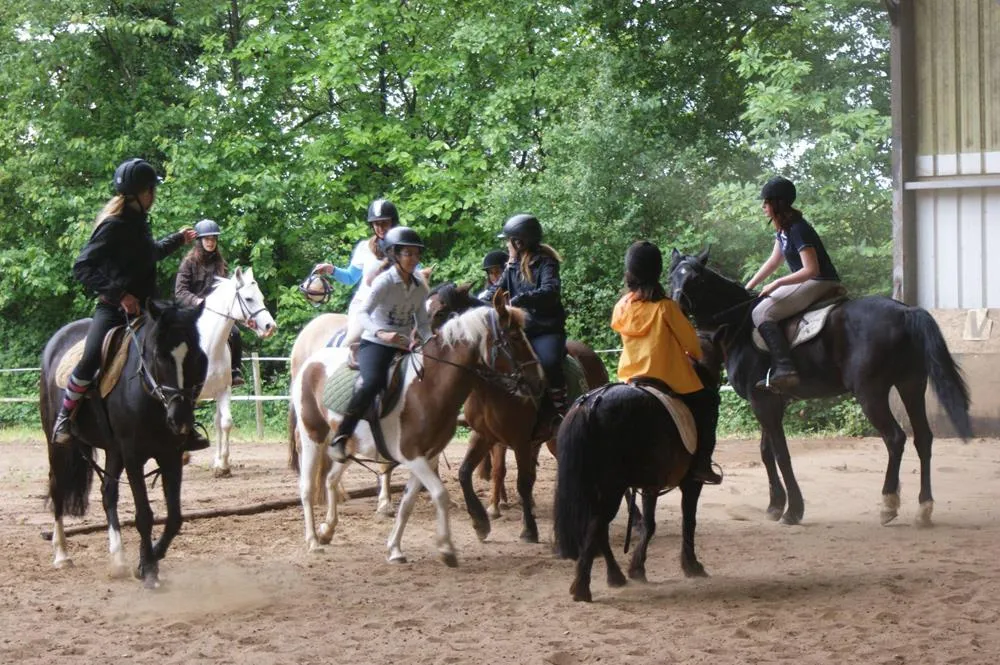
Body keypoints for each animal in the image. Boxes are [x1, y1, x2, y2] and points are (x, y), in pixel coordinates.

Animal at [40, 300, 208, 588]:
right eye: (159, 355)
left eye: (197, 357)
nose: (181, 419)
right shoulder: (133, 456)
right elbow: (144, 515)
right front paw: (149, 571)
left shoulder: (171, 455)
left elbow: (174, 517)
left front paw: (146, 561)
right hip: (59, 448)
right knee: (57, 489)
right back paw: (62, 555)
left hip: (113, 451)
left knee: (108, 493)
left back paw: (118, 559)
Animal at [195, 268, 278, 474]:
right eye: (248, 298)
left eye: (261, 297)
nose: (270, 327)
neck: (208, 348)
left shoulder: (223, 390)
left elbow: (225, 423)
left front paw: (223, 465)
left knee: (217, 422)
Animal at [424, 282, 608, 544]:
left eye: (440, 312)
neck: (491, 389)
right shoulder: (484, 436)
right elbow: (465, 473)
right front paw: (480, 522)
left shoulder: (520, 440)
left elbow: (523, 482)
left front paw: (529, 529)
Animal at [668, 246, 972, 528]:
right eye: (672, 276)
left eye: (697, 279)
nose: (676, 307)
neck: (737, 326)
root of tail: (905, 310)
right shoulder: (770, 400)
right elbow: (767, 453)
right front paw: (775, 506)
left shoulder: (761, 400)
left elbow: (781, 454)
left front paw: (793, 511)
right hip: (911, 385)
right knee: (923, 439)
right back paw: (924, 510)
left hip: (871, 393)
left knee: (895, 438)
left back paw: (888, 505)